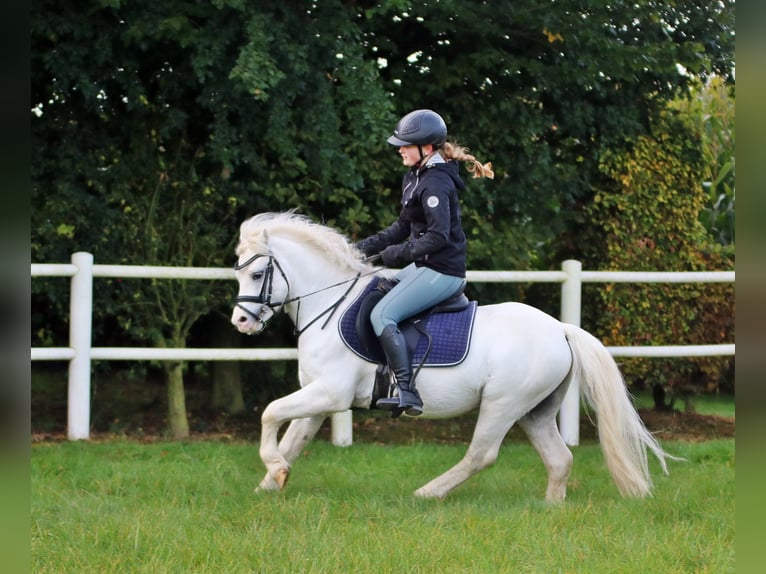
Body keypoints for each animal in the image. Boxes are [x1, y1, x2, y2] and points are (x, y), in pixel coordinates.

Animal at [231, 213, 676, 504]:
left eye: (257, 275)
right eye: (237, 271)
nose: (240, 321)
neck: (330, 302)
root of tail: (561, 329)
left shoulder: (331, 393)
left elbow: (269, 414)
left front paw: (272, 469)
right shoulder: (320, 398)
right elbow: (294, 437)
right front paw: (272, 480)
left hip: (502, 404)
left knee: (482, 455)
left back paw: (428, 493)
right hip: (535, 412)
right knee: (559, 458)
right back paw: (550, 509)